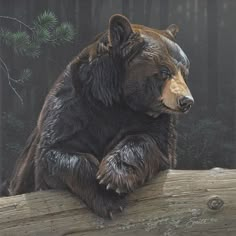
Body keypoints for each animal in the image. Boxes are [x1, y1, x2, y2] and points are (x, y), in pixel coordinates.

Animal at [3, 14, 194, 218]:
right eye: (164, 71)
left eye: (184, 73)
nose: (186, 101)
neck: (119, 100)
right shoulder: (73, 105)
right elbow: (53, 153)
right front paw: (108, 197)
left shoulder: (155, 119)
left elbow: (155, 144)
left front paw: (114, 176)